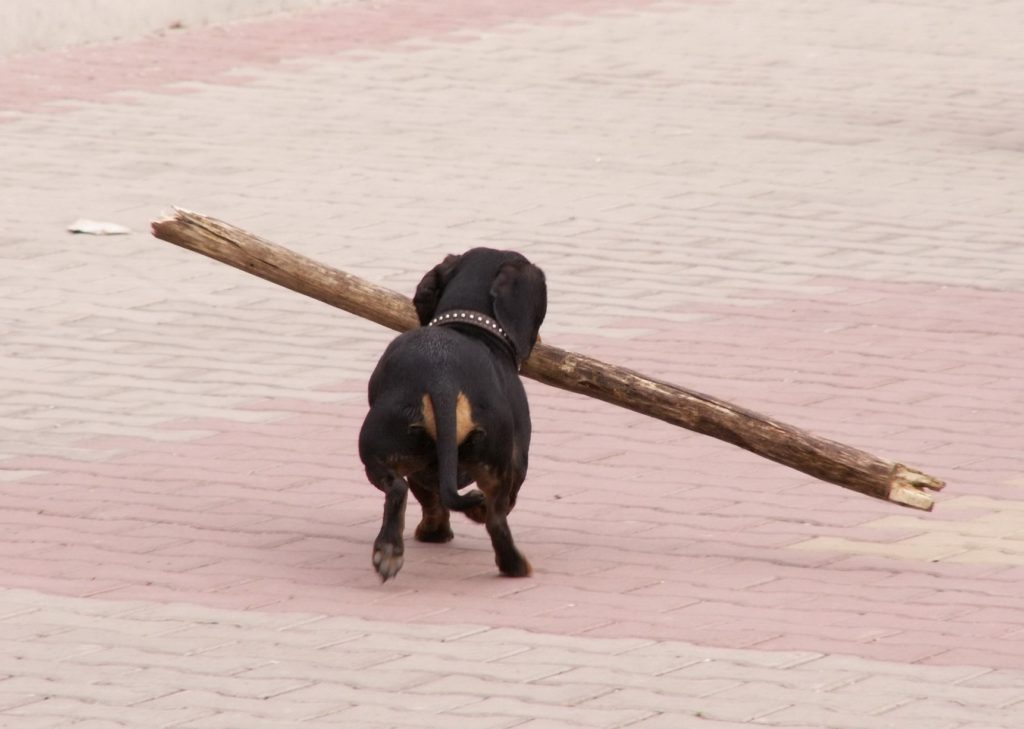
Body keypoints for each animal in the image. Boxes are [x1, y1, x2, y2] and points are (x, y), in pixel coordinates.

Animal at [362, 248, 552, 581]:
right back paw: (513, 565)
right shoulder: (519, 461)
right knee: (496, 519)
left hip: (380, 446)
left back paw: (389, 550)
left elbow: (430, 497)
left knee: (398, 488)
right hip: (496, 461)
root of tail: (443, 379)